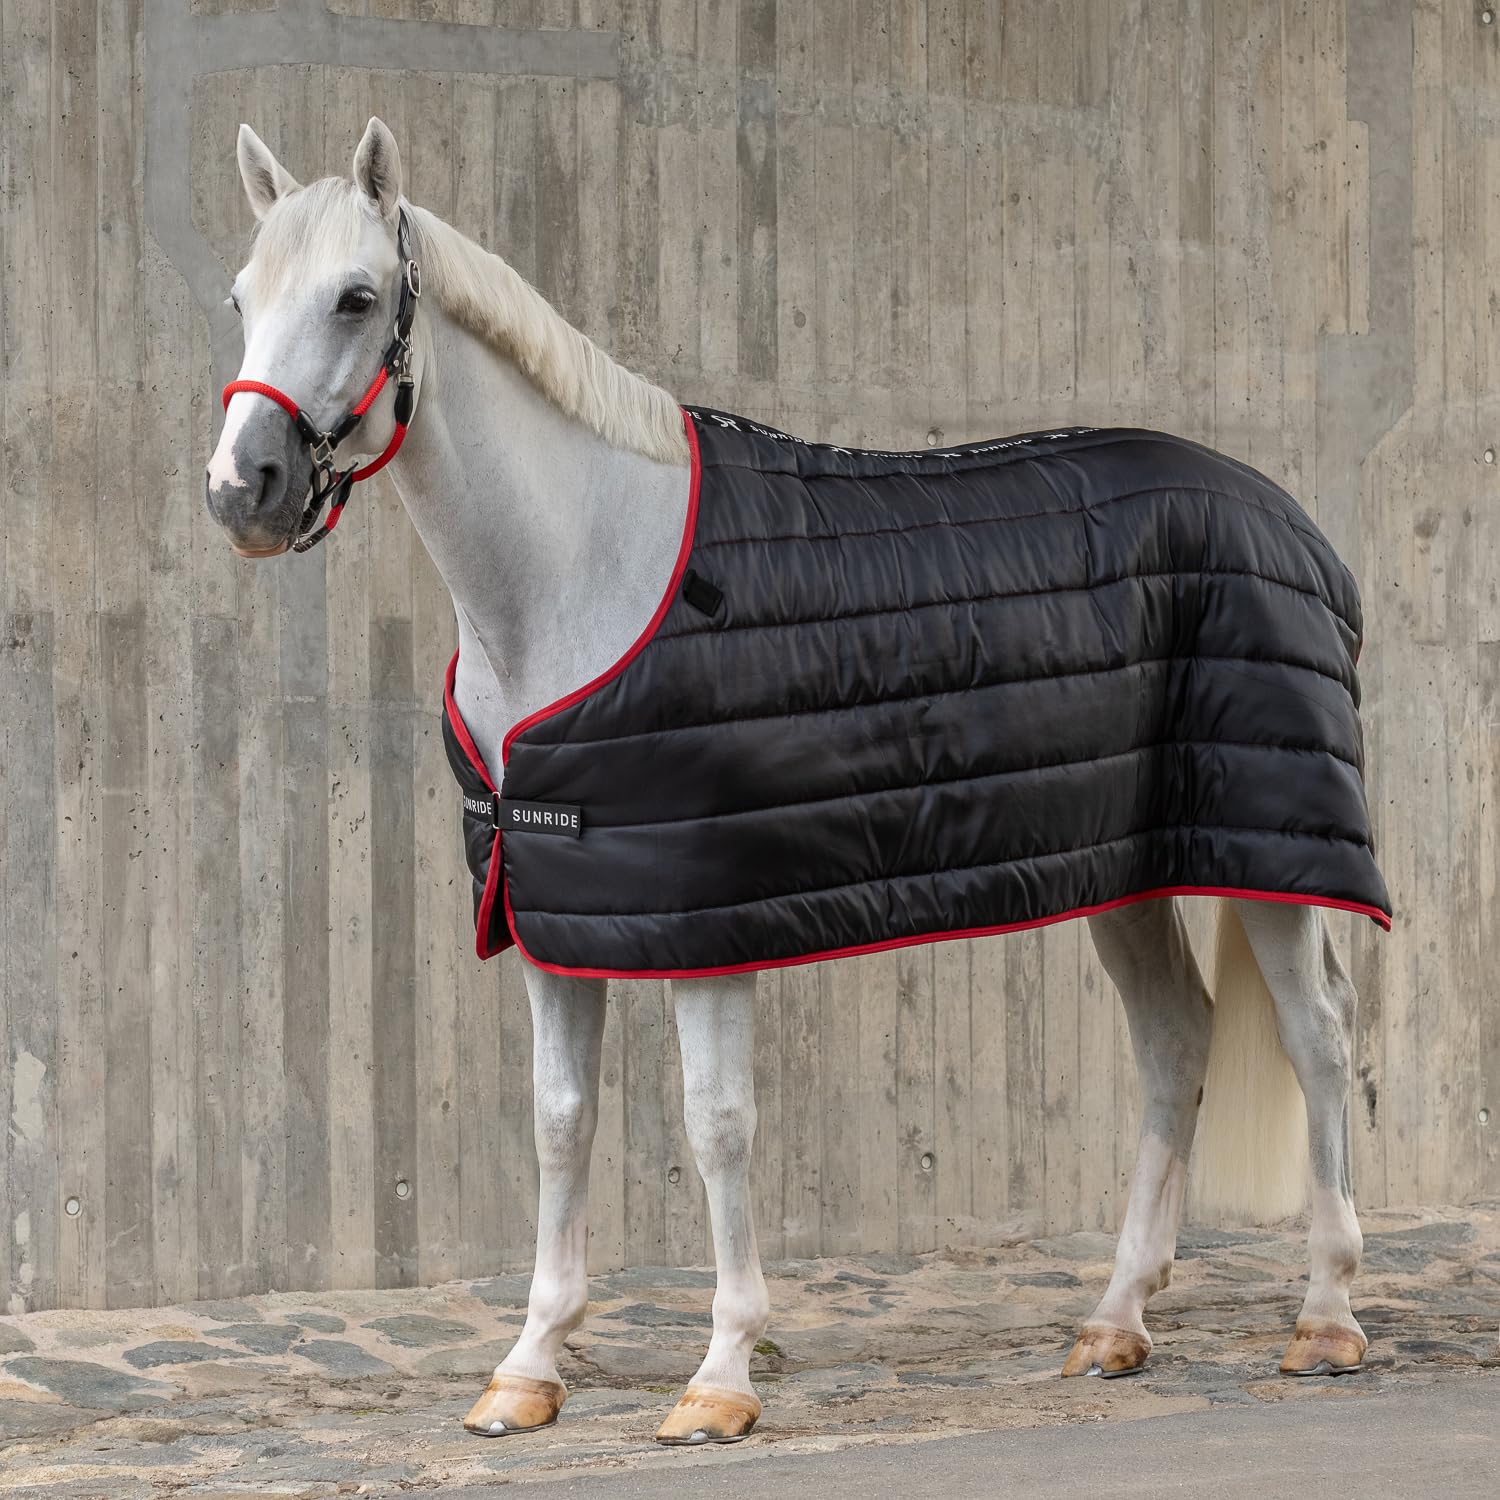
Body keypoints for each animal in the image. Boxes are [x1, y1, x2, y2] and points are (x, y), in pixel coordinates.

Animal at [206, 118, 1383, 1444]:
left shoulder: (706, 920)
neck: (583, 574)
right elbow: (561, 1123)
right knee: (1178, 1041)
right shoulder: (555, 907)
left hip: (1275, 858)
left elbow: (717, 1128)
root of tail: (1294, 524)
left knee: (1320, 1039)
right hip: (1124, 870)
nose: (242, 490)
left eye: (357, 298)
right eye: (242, 298)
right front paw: (527, 1368)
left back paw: (1326, 1320)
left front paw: (721, 1377)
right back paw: (1115, 1324)